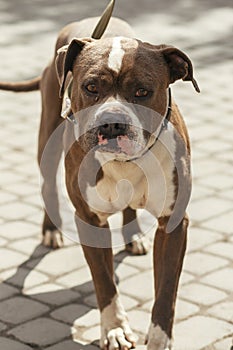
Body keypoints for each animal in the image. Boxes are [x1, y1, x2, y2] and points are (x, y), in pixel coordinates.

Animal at [0, 2, 200, 348]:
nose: (112, 122)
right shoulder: (89, 219)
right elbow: (104, 282)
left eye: (143, 91)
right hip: (47, 139)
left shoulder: (173, 223)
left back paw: (133, 237)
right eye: (91, 87)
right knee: (47, 185)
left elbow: (166, 291)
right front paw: (115, 328)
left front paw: (159, 338)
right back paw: (50, 230)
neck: (125, 161)